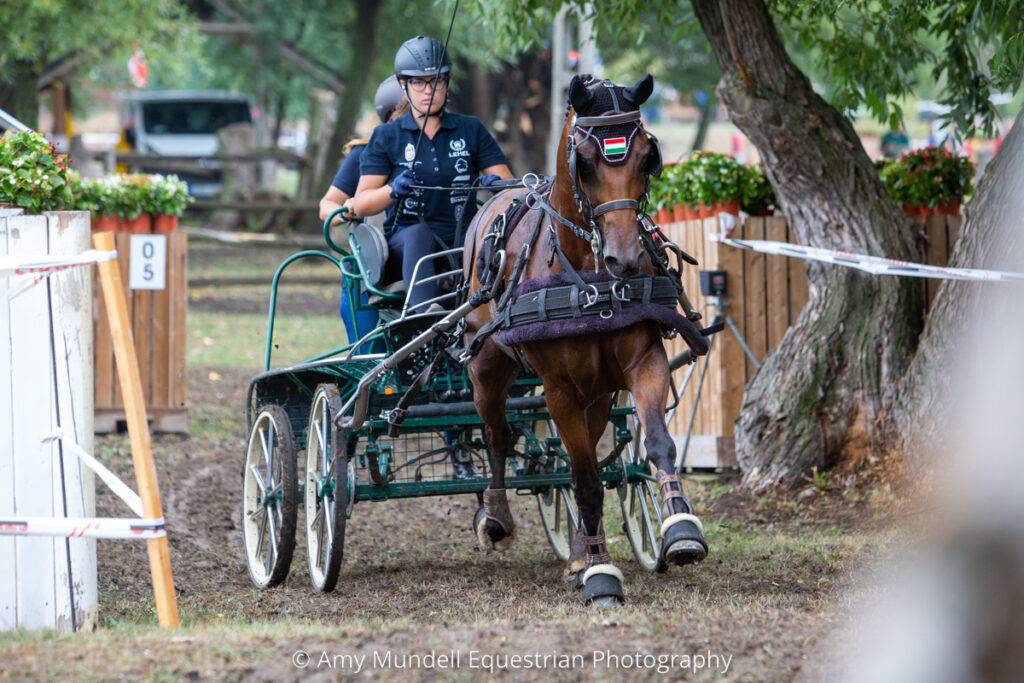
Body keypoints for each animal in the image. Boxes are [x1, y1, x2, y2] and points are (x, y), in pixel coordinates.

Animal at [461, 73, 711, 606]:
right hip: (487, 367)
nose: (625, 259)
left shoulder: (643, 361)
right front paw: (600, 573)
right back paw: (496, 517)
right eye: (586, 162)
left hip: (597, 390)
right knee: (498, 433)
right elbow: (585, 479)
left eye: (647, 156)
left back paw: (578, 549)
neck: (587, 274)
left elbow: (656, 444)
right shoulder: (559, 390)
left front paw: (680, 528)